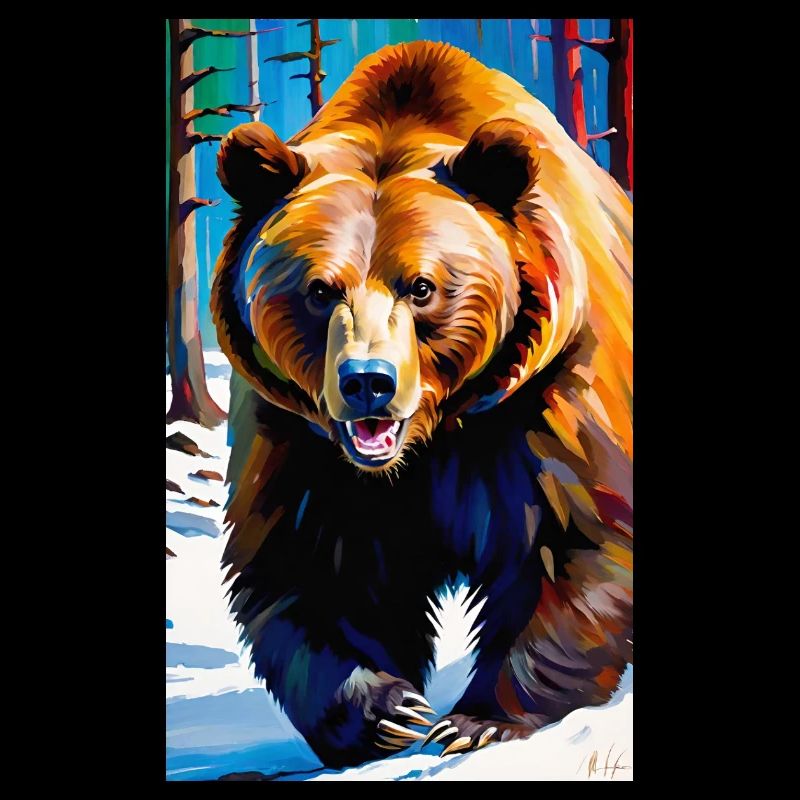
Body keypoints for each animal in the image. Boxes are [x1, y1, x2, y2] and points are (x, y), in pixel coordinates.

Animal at [211, 40, 632, 770]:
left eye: (423, 286)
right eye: (319, 289)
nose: (367, 381)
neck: (435, 435)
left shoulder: (553, 394)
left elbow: (573, 537)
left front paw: (480, 720)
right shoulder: (299, 438)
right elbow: (307, 565)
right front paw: (387, 712)